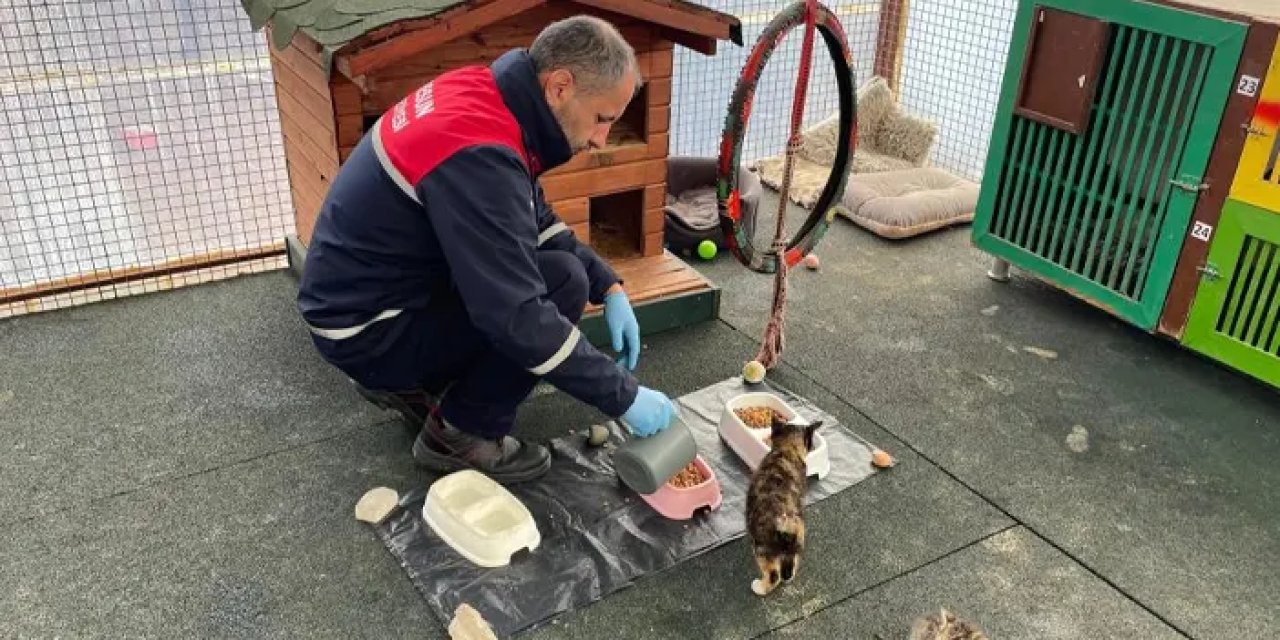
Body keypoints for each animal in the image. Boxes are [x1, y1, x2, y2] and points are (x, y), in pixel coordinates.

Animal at [742, 412, 819, 596]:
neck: (787, 450)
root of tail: (785, 522)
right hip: (796, 546)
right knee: (789, 569)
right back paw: (787, 578)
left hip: (762, 548)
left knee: (773, 576)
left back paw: (759, 587)